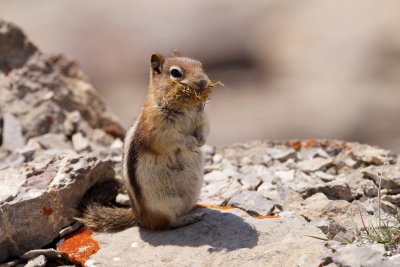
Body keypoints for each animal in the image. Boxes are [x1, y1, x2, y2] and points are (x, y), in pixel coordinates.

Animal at [79, 50, 214, 232]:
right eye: (175, 73)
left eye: (200, 65)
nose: (202, 82)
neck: (186, 107)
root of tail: (140, 217)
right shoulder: (156, 129)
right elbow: (172, 139)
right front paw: (191, 141)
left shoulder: (203, 118)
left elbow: (204, 128)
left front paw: (201, 140)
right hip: (162, 206)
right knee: (166, 224)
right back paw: (188, 219)